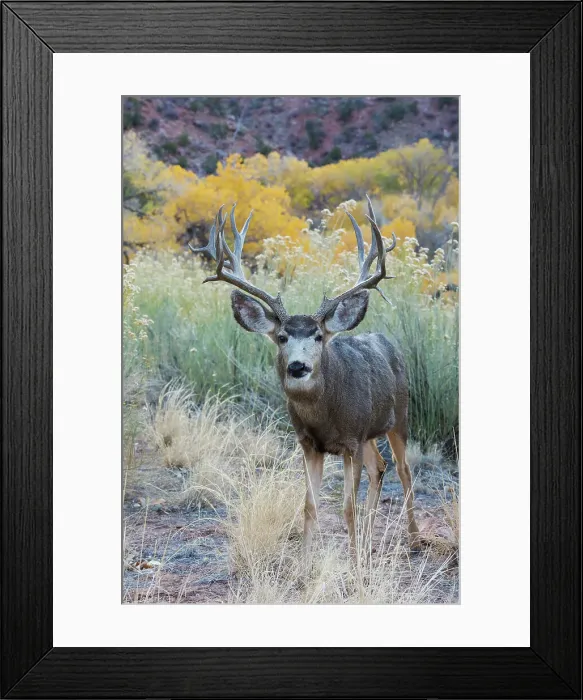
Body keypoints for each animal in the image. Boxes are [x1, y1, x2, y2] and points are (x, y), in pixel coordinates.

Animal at [190, 197, 421, 564]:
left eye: (317, 336)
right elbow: (309, 505)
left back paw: (412, 540)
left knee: (404, 470)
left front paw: (353, 564)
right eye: (283, 336)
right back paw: (369, 539)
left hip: (400, 415)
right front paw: (305, 562)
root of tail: (388, 340)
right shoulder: (309, 443)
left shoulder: (351, 440)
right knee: (380, 467)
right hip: (370, 432)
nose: (298, 366)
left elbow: (347, 507)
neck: (325, 418)